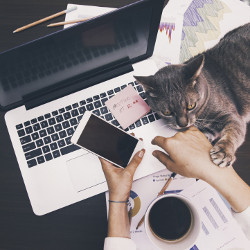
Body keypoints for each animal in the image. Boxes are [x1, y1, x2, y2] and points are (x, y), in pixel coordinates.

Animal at [135, 23, 250, 168]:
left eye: (191, 105)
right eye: (167, 112)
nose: (183, 124)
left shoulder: (232, 116)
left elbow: (234, 132)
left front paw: (223, 152)